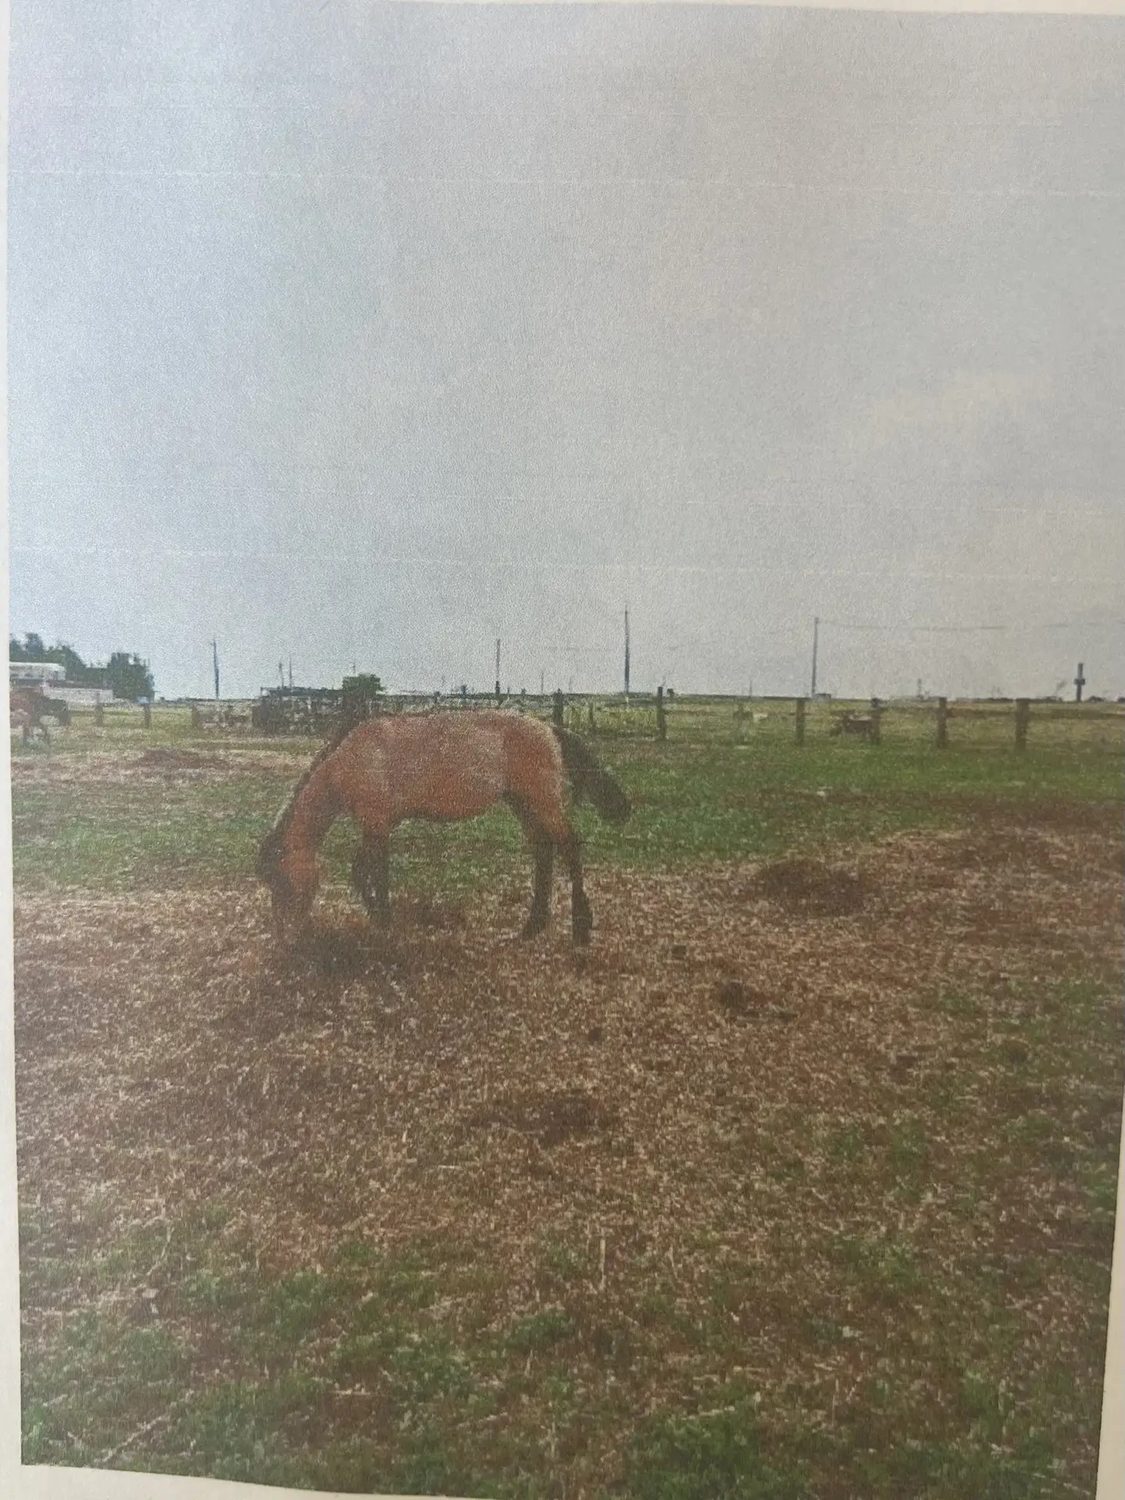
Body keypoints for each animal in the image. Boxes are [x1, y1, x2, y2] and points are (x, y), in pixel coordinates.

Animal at [257, 710, 631, 948]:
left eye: (281, 881)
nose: (286, 939)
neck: (354, 758)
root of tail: (549, 729)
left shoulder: (377, 825)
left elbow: (375, 875)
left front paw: (386, 923)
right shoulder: (376, 826)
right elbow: (361, 873)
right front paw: (378, 918)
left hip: (543, 803)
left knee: (570, 848)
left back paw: (580, 929)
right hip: (523, 804)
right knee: (543, 850)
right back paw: (531, 928)